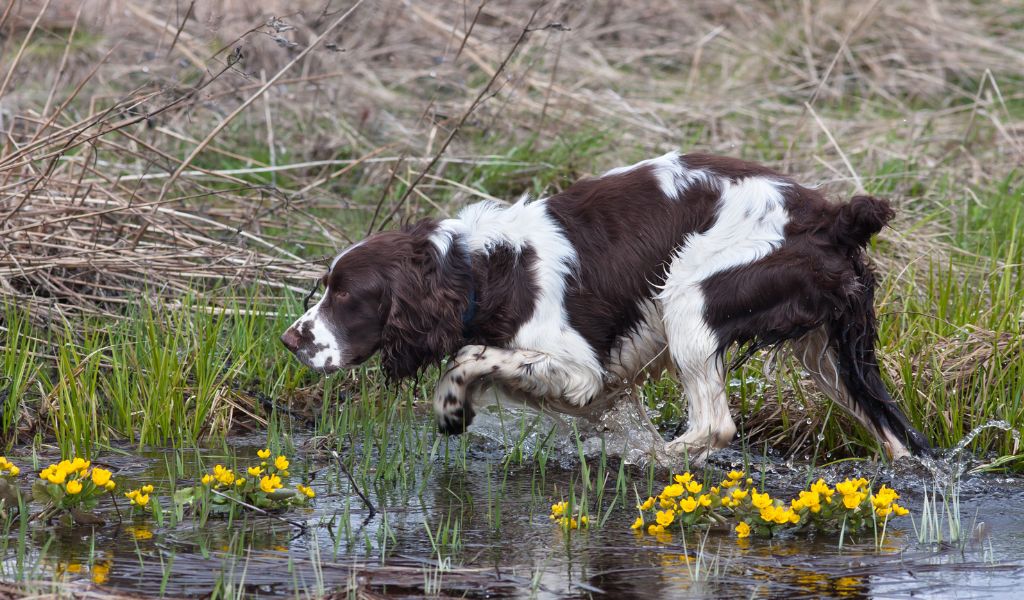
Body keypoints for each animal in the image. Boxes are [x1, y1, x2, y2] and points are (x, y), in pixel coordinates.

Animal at [284, 151, 933, 460]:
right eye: (328, 284)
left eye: (346, 294)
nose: (292, 340)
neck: (483, 271)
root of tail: (832, 217)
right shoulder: (602, 389)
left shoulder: (581, 371)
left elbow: (468, 357)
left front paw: (451, 407)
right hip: (835, 353)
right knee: (899, 438)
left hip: (687, 298)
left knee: (714, 425)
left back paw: (656, 465)